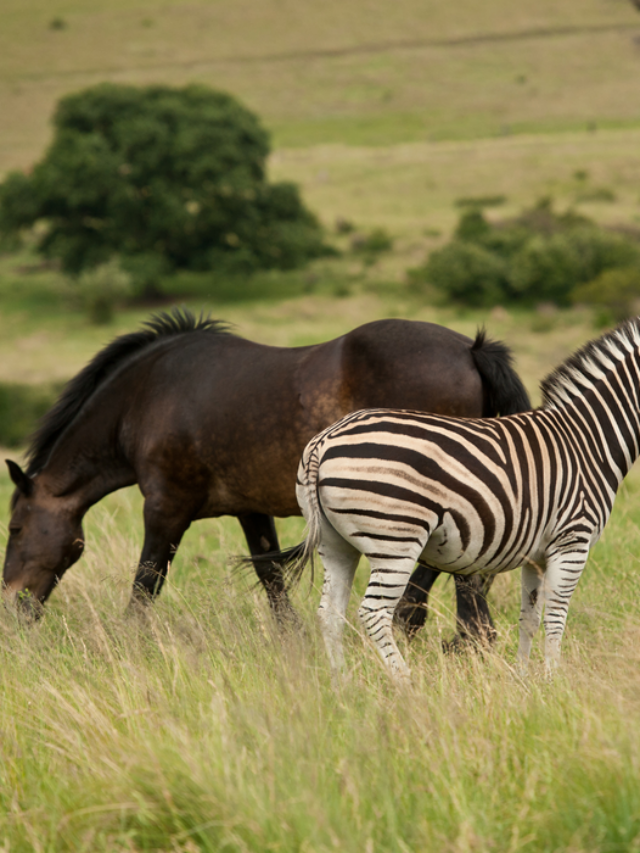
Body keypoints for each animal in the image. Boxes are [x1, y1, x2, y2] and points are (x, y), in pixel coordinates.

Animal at [3, 309, 530, 636]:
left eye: (15, 528)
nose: (11, 606)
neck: (146, 396)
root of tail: (470, 349)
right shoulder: (250, 509)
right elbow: (271, 575)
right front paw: (293, 640)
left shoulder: (166, 508)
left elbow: (146, 580)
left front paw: (128, 639)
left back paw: (430, 628)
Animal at [288, 318, 640, 682]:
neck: (588, 441)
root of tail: (324, 441)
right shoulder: (572, 541)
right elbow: (556, 618)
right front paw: (553, 681)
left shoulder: (536, 555)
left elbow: (529, 618)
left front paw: (523, 679)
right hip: (395, 541)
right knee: (373, 613)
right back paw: (406, 683)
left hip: (335, 543)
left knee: (330, 612)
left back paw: (341, 684)